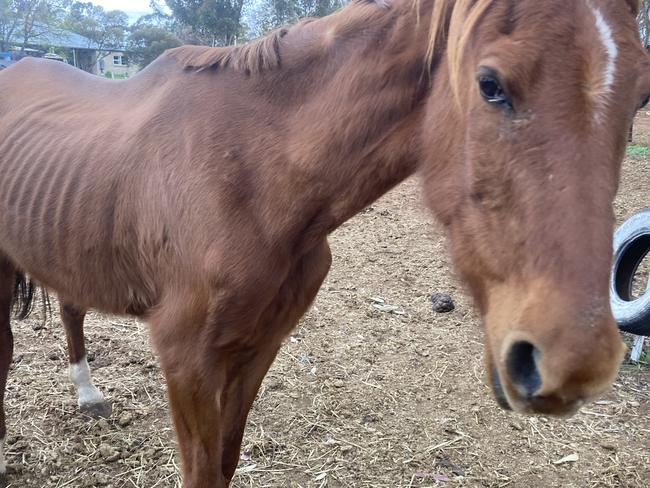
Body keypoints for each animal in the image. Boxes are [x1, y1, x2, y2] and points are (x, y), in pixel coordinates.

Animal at [1, 0, 648, 486]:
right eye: (490, 84)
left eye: (640, 96)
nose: (577, 362)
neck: (252, 172)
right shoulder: (186, 360)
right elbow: (201, 470)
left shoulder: (257, 347)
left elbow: (226, 463)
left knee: (70, 305)